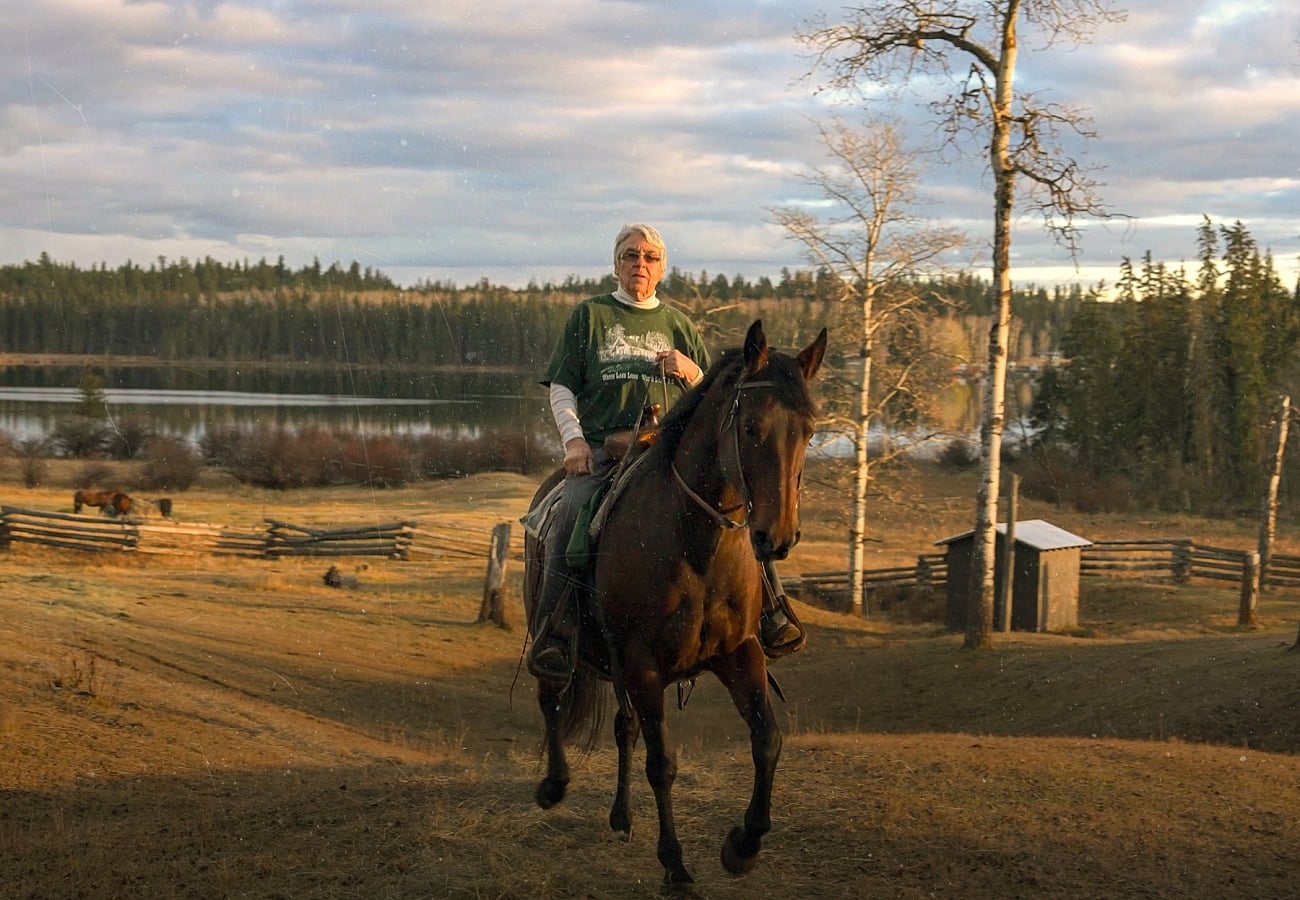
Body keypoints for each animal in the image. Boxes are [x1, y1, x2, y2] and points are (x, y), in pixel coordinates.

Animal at [522, 319, 827, 891]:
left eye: (809, 431)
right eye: (750, 428)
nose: (776, 538)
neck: (695, 545)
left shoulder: (739, 653)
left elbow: (767, 739)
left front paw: (743, 845)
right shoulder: (642, 666)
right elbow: (662, 763)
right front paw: (676, 867)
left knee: (623, 728)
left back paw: (621, 817)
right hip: (554, 635)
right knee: (551, 696)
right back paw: (554, 785)